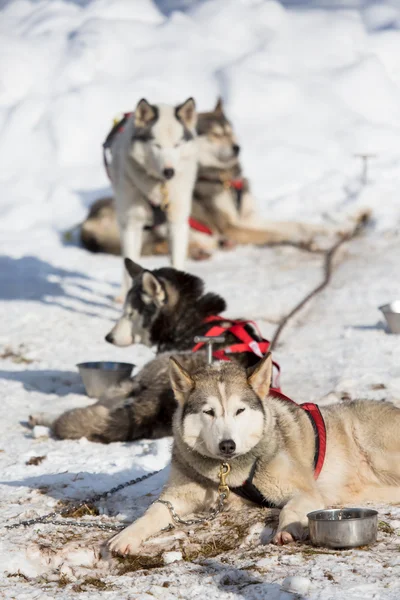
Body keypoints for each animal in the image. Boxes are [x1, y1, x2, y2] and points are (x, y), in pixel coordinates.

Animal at [80, 98, 366, 260]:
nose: (237, 147)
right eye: (215, 134)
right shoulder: (234, 227)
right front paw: (303, 240)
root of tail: (87, 220)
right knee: (156, 246)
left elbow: (299, 224)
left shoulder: (249, 219)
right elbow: (281, 232)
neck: (226, 179)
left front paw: (334, 229)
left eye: (230, 131)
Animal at [106, 98, 198, 300]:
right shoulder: (131, 225)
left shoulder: (177, 223)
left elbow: (177, 262)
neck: (159, 188)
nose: (169, 171)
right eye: (157, 145)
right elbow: (130, 266)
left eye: (177, 145)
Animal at [107, 354, 400, 556]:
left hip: (375, 451)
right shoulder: (176, 497)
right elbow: (153, 511)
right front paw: (127, 535)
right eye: (209, 412)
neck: (228, 471)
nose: (227, 445)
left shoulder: (305, 491)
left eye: (239, 410)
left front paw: (286, 529)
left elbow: (291, 507)